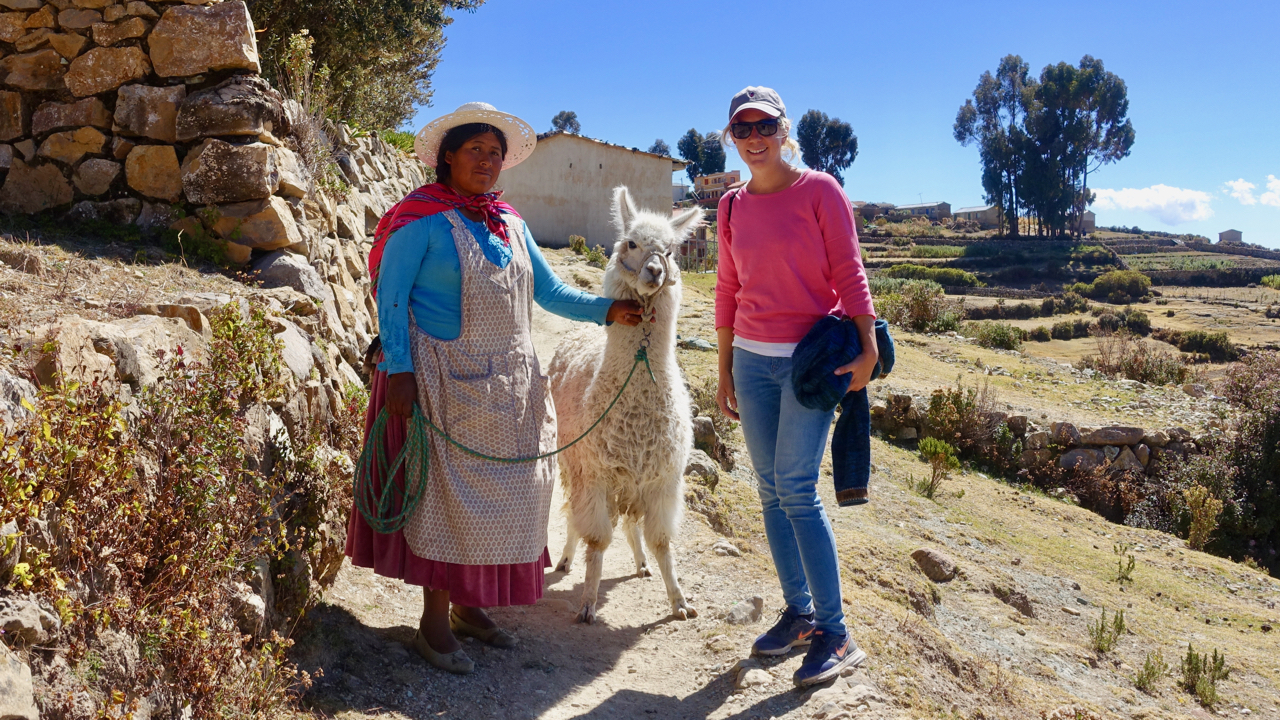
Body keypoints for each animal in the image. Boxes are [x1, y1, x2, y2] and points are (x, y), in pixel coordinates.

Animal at [548, 186, 703, 624]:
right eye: (632, 242)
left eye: (669, 251)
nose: (654, 272)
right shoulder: (597, 474)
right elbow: (598, 542)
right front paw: (587, 602)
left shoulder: (663, 480)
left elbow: (662, 543)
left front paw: (679, 601)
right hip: (571, 460)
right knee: (574, 513)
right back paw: (565, 559)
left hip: (631, 480)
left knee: (632, 525)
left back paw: (641, 564)